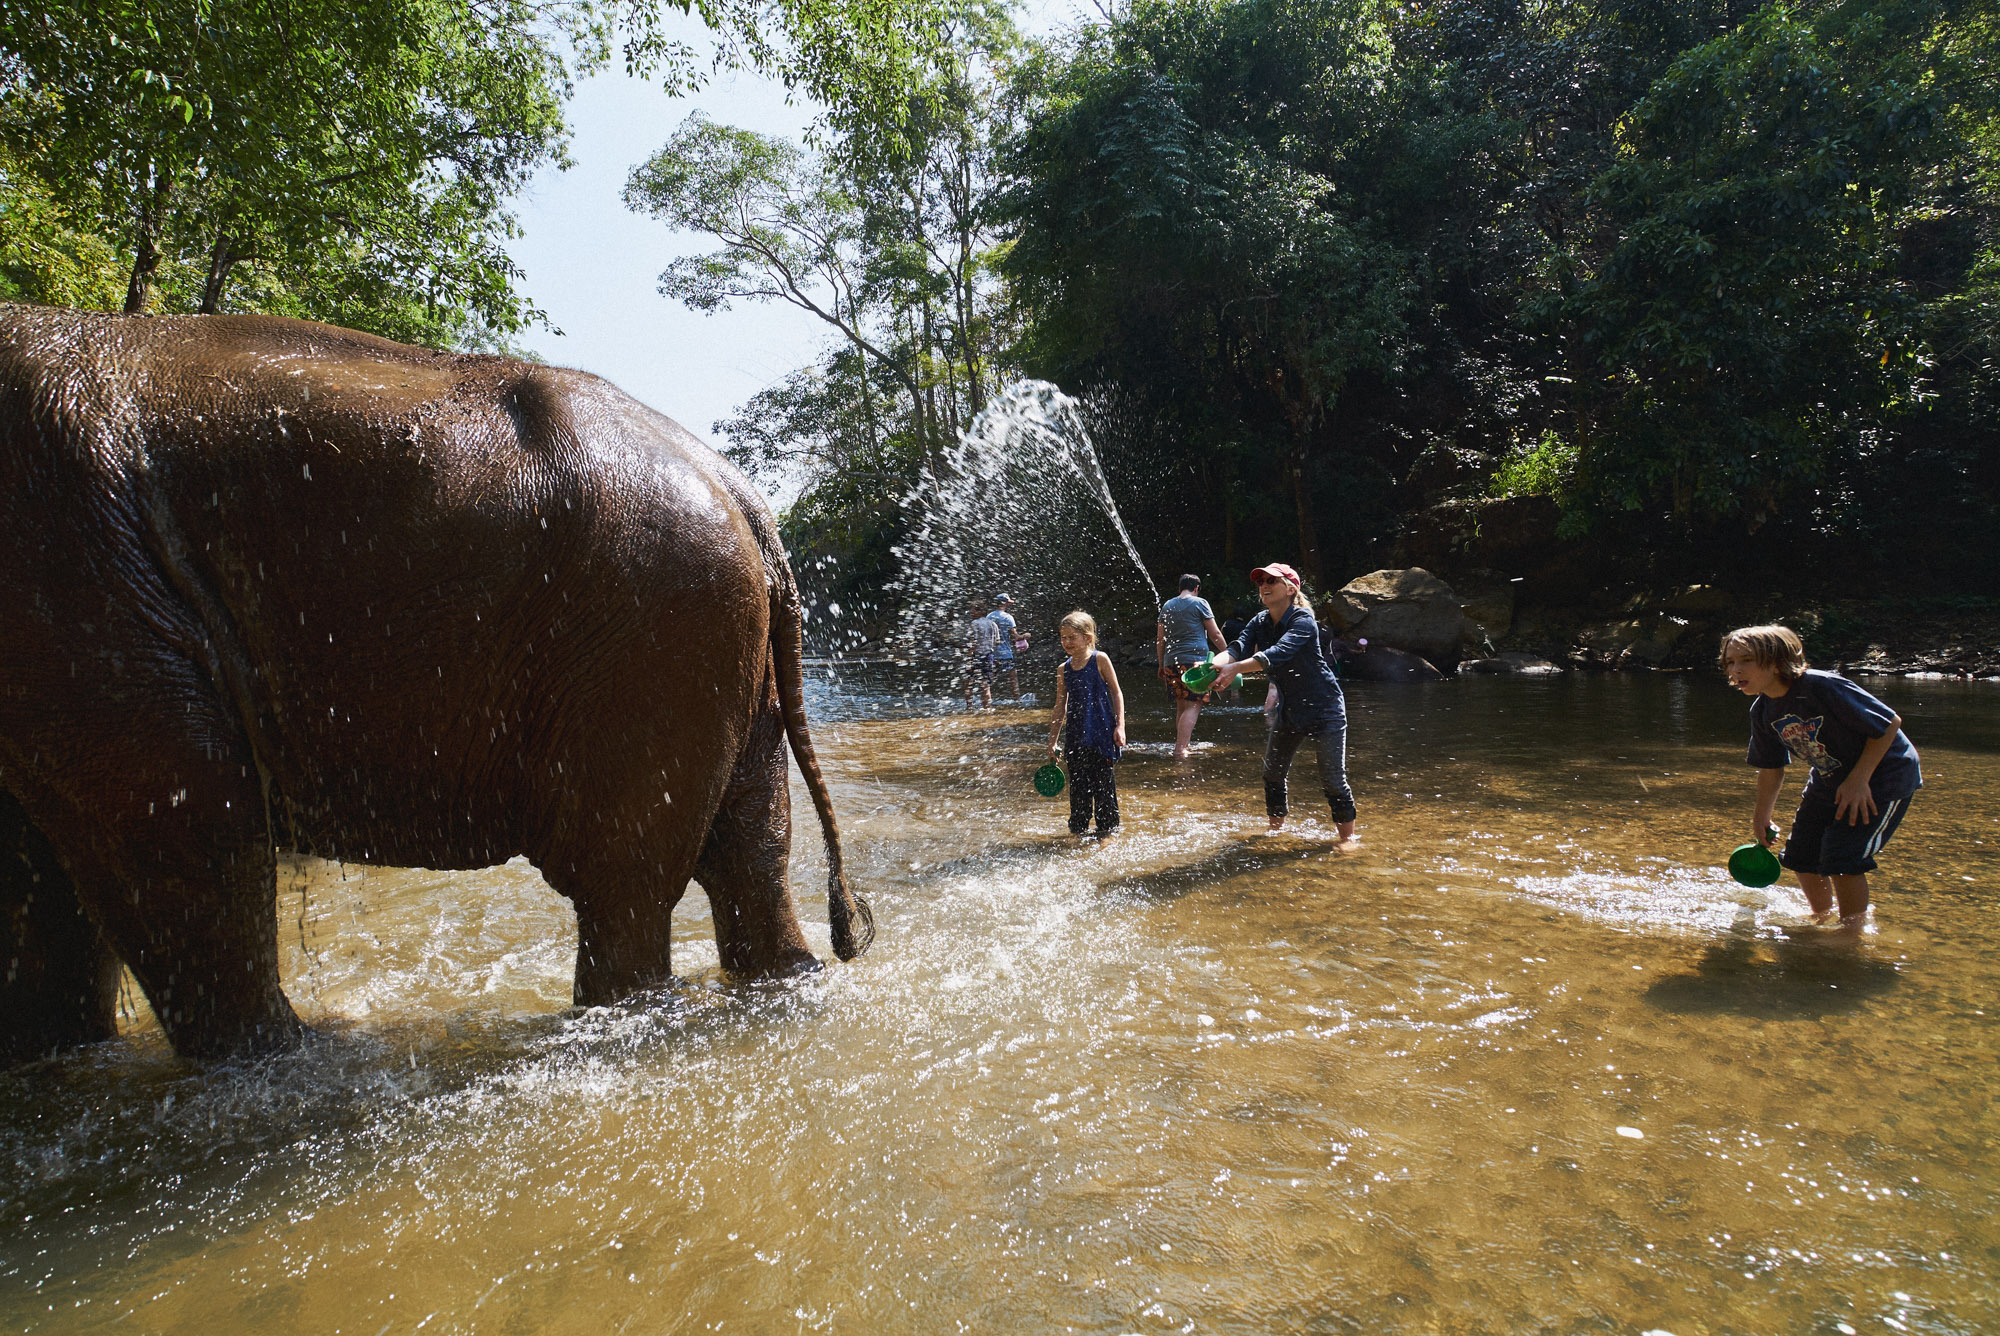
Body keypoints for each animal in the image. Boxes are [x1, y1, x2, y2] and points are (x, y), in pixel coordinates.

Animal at [1, 308, 876, 1072]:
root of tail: (742, 492)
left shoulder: (80, 582)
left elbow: (175, 823)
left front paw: (270, 1069)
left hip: (649, 637)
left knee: (621, 883)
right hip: (710, 648)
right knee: (747, 856)